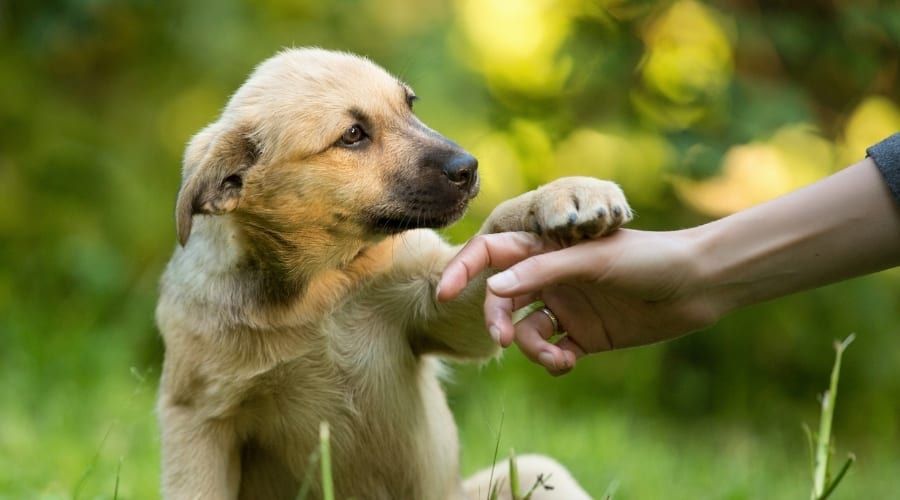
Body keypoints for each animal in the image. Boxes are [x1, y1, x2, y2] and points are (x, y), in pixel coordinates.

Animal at [156, 47, 632, 500]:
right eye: (352, 135)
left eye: (409, 104)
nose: (469, 167)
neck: (321, 290)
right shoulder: (197, 417)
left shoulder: (438, 304)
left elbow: (495, 229)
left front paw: (563, 194)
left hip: (537, 471)